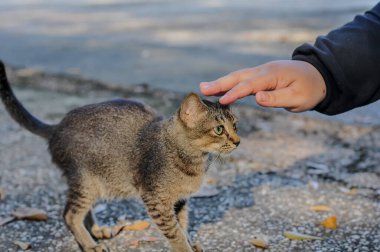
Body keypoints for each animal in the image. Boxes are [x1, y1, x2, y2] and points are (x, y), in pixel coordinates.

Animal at [0, 61, 240, 252]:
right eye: (219, 130)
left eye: (235, 125)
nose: (238, 141)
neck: (193, 160)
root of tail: (57, 127)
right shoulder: (156, 199)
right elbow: (175, 232)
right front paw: (184, 248)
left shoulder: (179, 200)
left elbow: (183, 225)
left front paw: (191, 243)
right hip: (86, 182)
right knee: (70, 215)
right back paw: (90, 245)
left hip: (92, 183)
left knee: (83, 211)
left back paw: (97, 231)